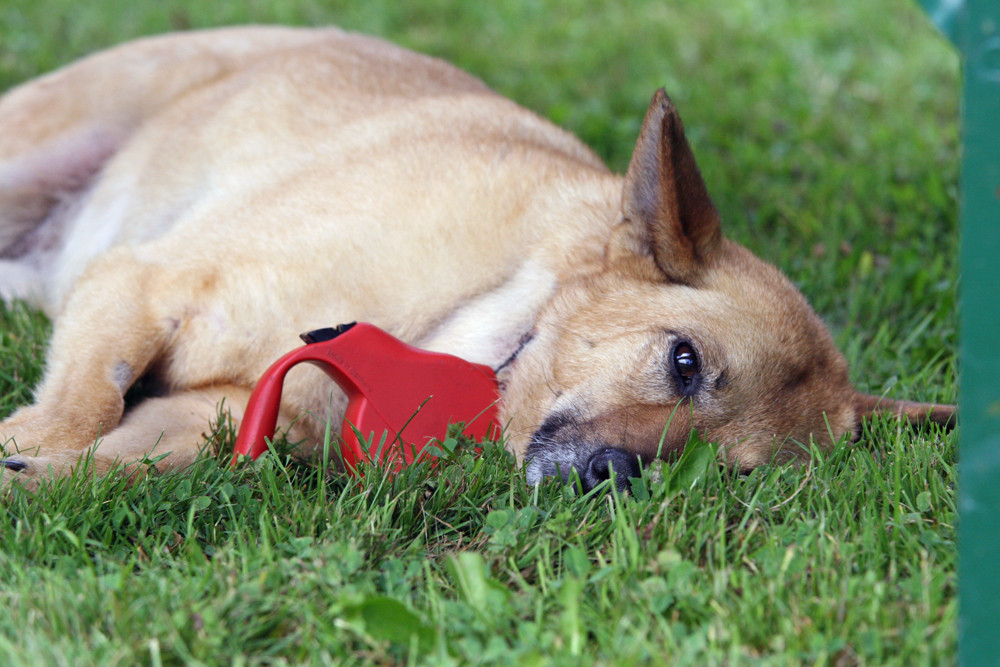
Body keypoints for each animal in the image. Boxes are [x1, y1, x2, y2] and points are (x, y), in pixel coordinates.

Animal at [0, 27, 952, 490]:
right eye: (685, 361)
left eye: (729, 473)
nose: (612, 479)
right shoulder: (136, 286)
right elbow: (82, 407)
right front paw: (32, 440)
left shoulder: (225, 414)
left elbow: (114, 463)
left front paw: (37, 478)